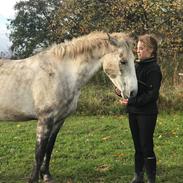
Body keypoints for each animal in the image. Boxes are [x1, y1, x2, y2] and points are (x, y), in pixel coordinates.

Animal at [0, 30, 137, 182]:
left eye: (134, 59)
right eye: (123, 61)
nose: (133, 92)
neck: (60, 74)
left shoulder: (58, 120)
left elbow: (49, 148)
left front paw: (46, 175)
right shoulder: (45, 120)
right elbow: (39, 152)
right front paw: (34, 179)